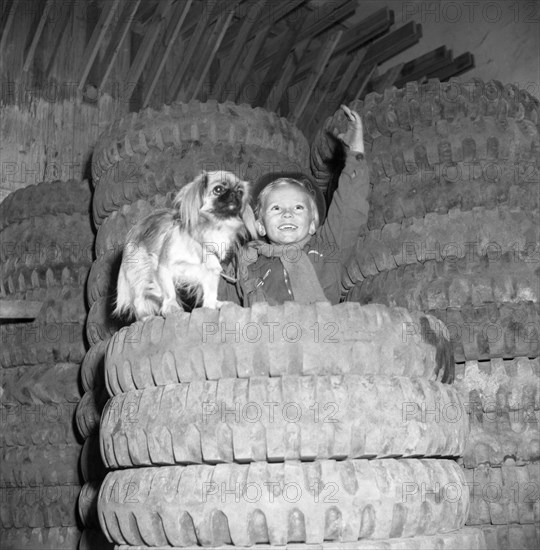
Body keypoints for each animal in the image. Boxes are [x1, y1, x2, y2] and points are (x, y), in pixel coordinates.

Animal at [113, 170, 255, 322]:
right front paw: (171, 306)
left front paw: (212, 305)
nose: (235, 194)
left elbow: (210, 292)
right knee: (139, 298)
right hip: (140, 270)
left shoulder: (211, 270)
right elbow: (169, 291)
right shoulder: (164, 266)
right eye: (218, 189)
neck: (212, 227)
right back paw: (145, 317)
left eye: (240, 192)